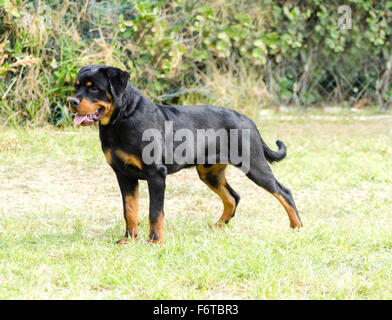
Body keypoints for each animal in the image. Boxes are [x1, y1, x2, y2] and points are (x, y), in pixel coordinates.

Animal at [69, 65, 304, 245]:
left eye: (94, 88)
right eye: (76, 86)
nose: (72, 101)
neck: (122, 119)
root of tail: (247, 119)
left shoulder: (156, 174)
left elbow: (155, 212)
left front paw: (155, 242)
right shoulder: (124, 175)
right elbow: (130, 210)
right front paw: (129, 240)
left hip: (253, 164)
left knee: (283, 191)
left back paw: (297, 227)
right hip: (210, 173)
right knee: (233, 197)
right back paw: (217, 226)